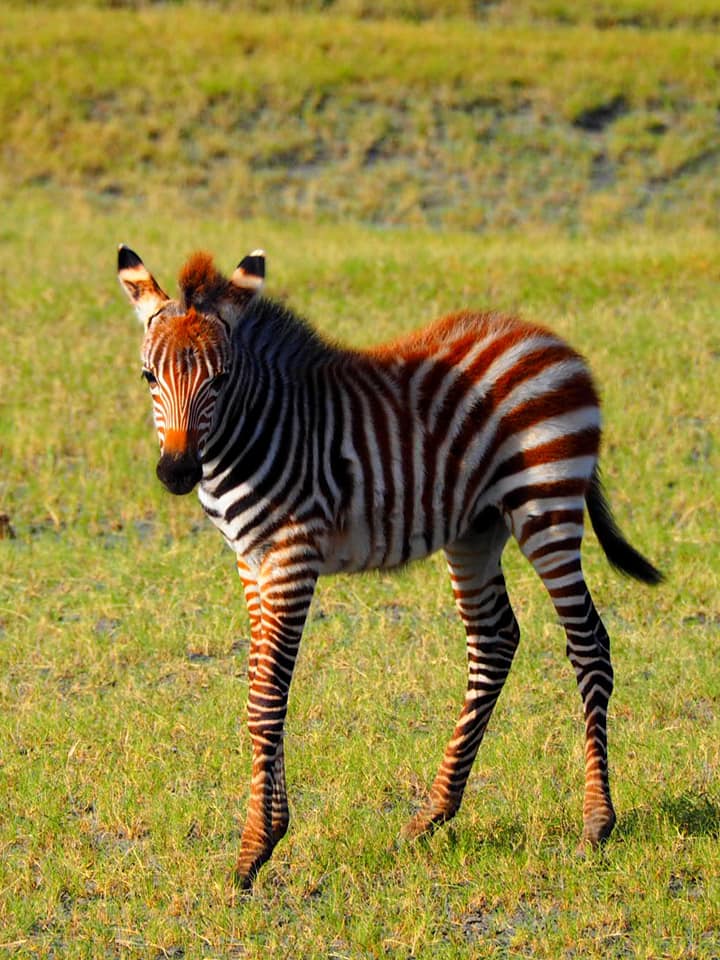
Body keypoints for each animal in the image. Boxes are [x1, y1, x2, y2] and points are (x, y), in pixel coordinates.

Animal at [118, 244, 662, 889]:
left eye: (220, 380)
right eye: (149, 376)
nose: (176, 472)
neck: (257, 429)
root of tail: (549, 340)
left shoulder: (293, 557)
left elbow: (268, 697)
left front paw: (255, 849)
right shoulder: (253, 564)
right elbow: (257, 691)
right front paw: (266, 833)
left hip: (545, 505)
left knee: (588, 644)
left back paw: (597, 822)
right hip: (475, 528)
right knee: (495, 640)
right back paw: (434, 813)